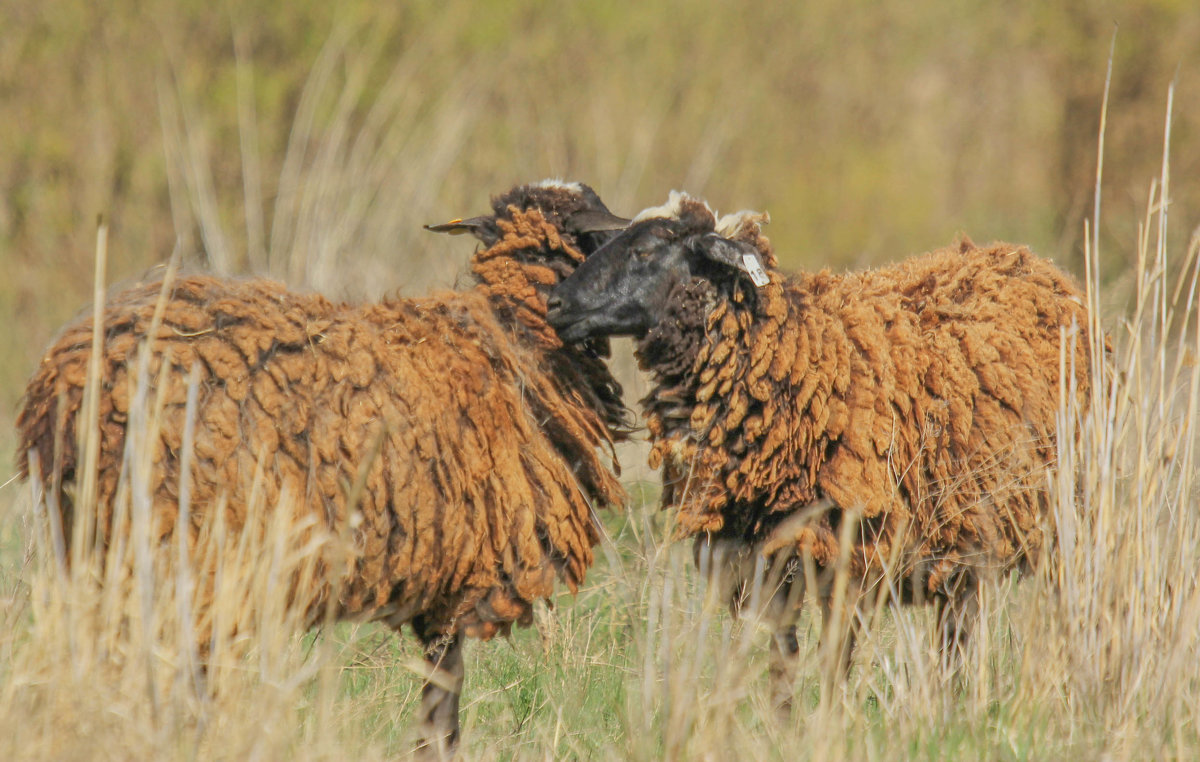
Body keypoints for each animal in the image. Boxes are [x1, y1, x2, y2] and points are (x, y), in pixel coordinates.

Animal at [18, 180, 633, 758]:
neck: (510, 336)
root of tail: (63, 387)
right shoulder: (461, 578)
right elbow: (444, 699)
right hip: (188, 544)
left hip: (95, 538)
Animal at [549, 190, 1099, 710]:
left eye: (646, 249)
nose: (555, 303)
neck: (798, 361)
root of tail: (1036, 263)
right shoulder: (761, 564)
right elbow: (781, 665)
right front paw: (783, 728)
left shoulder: (850, 562)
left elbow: (833, 665)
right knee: (956, 638)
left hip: (1062, 521)